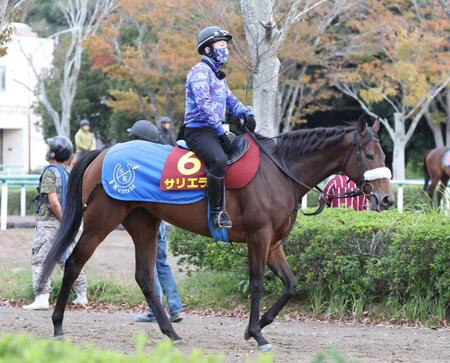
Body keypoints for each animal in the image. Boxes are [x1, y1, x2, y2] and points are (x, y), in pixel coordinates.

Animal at [37, 118, 392, 352]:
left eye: (384, 155)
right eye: (369, 155)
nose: (386, 199)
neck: (277, 170)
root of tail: (104, 153)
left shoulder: (274, 242)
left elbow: (291, 285)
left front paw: (261, 325)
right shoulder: (259, 237)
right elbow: (257, 283)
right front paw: (257, 333)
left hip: (144, 223)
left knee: (145, 277)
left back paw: (171, 333)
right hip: (101, 220)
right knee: (73, 264)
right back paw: (57, 324)